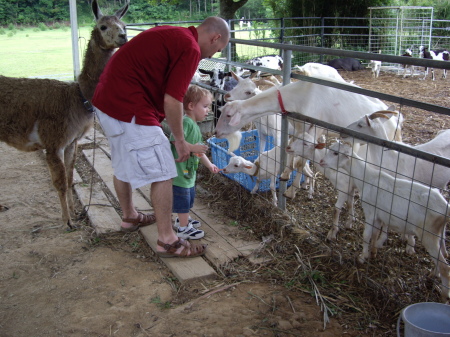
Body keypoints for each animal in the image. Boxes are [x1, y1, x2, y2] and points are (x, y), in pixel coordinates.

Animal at [320, 142, 450, 302]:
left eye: (336, 153)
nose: (322, 162)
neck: (367, 177)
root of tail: (446, 209)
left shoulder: (370, 211)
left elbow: (366, 235)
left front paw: (362, 257)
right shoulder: (378, 217)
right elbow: (375, 234)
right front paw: (373, 253)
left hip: (429, 234)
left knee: (445, 267)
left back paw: (444, 295)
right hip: (439, 233)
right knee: (443, 254)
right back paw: (433, 275)